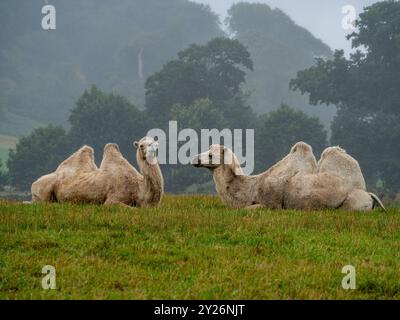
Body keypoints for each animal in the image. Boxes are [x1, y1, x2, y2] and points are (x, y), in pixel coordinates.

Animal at [30, 136, 163, 208]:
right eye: (141, 145)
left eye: (154, 144)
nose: (151, 151)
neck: (139, 189)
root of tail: (33, 184)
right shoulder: (112, 200)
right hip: (43, 192)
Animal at [192, 141, 386, 211]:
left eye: (211, 155)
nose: (195, 159)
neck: (251, 188)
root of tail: (369, 194)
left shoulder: (272, 205)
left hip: (351, 205)